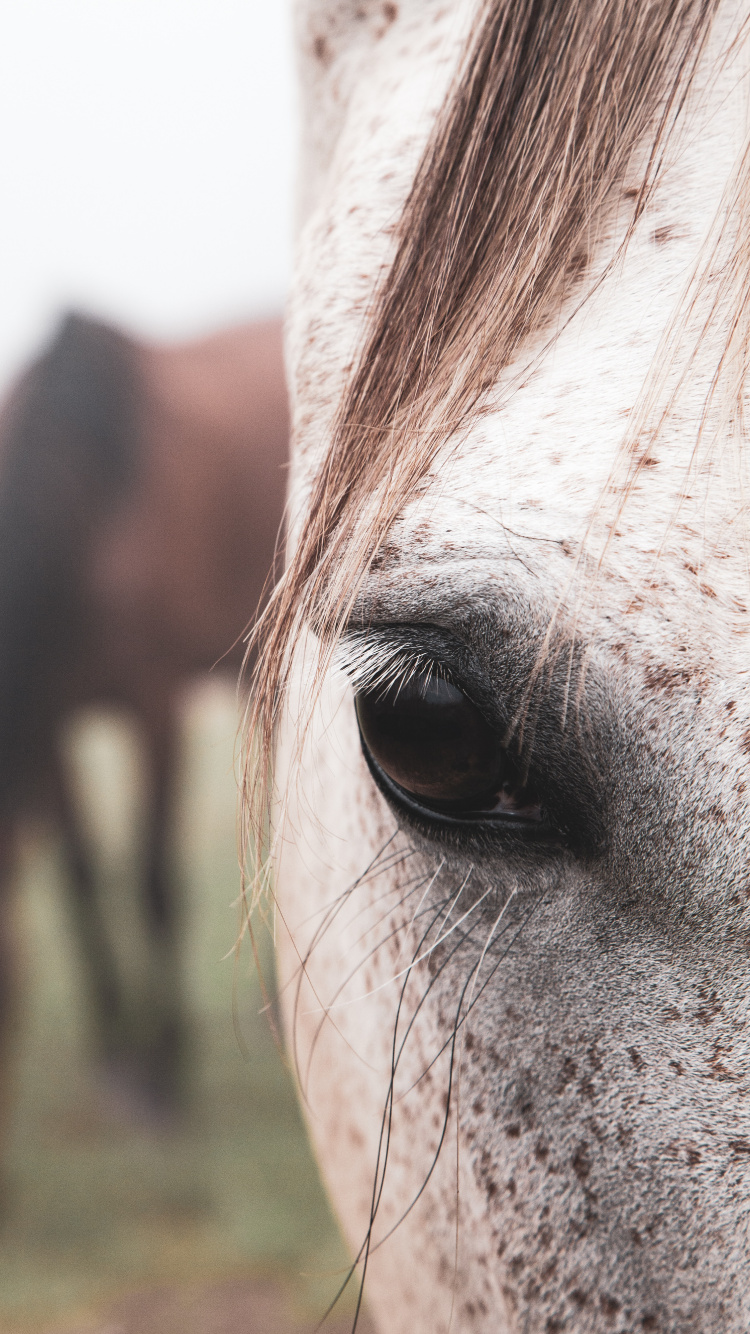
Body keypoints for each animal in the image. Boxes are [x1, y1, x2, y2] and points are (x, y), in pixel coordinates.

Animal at [0, 312, 288, 1118]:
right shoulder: (53, 723)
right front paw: (114, 1055)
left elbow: (154, 878)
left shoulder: (155, 704)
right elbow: (81, 880)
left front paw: (162, 1071)